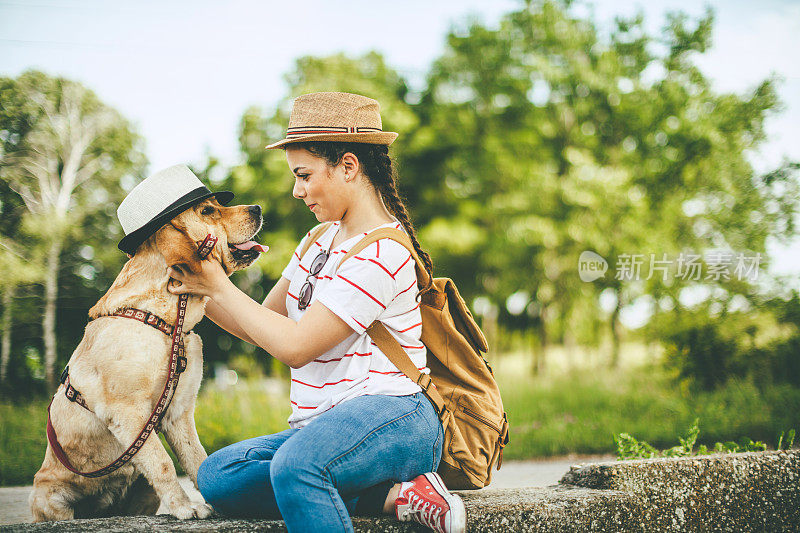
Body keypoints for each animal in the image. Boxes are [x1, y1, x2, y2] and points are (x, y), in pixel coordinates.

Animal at [28, 196, 266, 520]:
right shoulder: (128, 413)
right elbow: (162, 462)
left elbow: (197, 459)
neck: (164, 321)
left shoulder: (179, 413)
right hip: (51, 498)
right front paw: (183, 507)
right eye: (207, 211)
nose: (258, 208)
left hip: (143, 490)